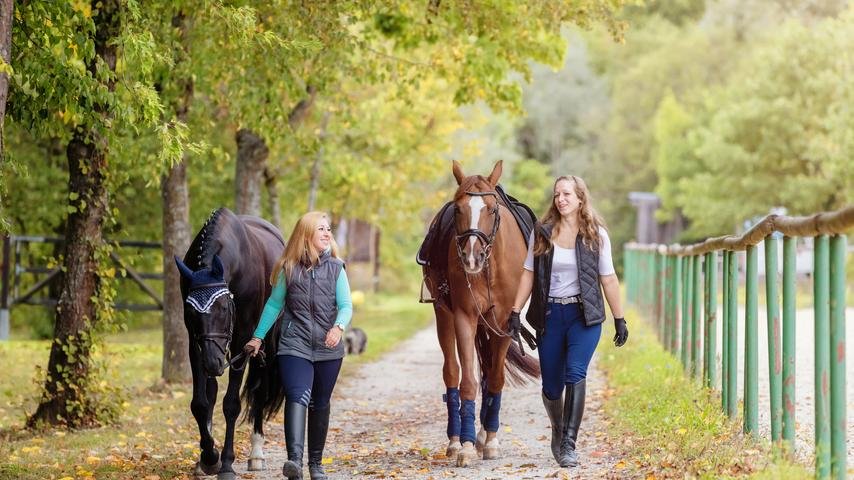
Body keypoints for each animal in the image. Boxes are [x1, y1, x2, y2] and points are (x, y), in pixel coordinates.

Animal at [176, 209, 286, 480]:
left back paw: (256, 454)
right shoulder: (195, 345)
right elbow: (201, 402)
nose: (212, 363)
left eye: (224, 308)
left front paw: (225, 463)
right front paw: (208, 458)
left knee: (259, 390)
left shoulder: (242, 341)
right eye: (190, 312)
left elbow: (231, 404)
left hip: (264, 344)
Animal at [424, 160, 540, 464]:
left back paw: (482, 434)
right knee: (452, 372)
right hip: (444, 314)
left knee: (488, 371)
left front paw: (491, 440)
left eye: (491, 209)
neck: (489, 267)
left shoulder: (504, 321)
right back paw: (455, 440)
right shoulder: (465, 316)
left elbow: (496, 379)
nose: (472, 257)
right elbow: (468, 381)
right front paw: (465, 446)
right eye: (458, 209)